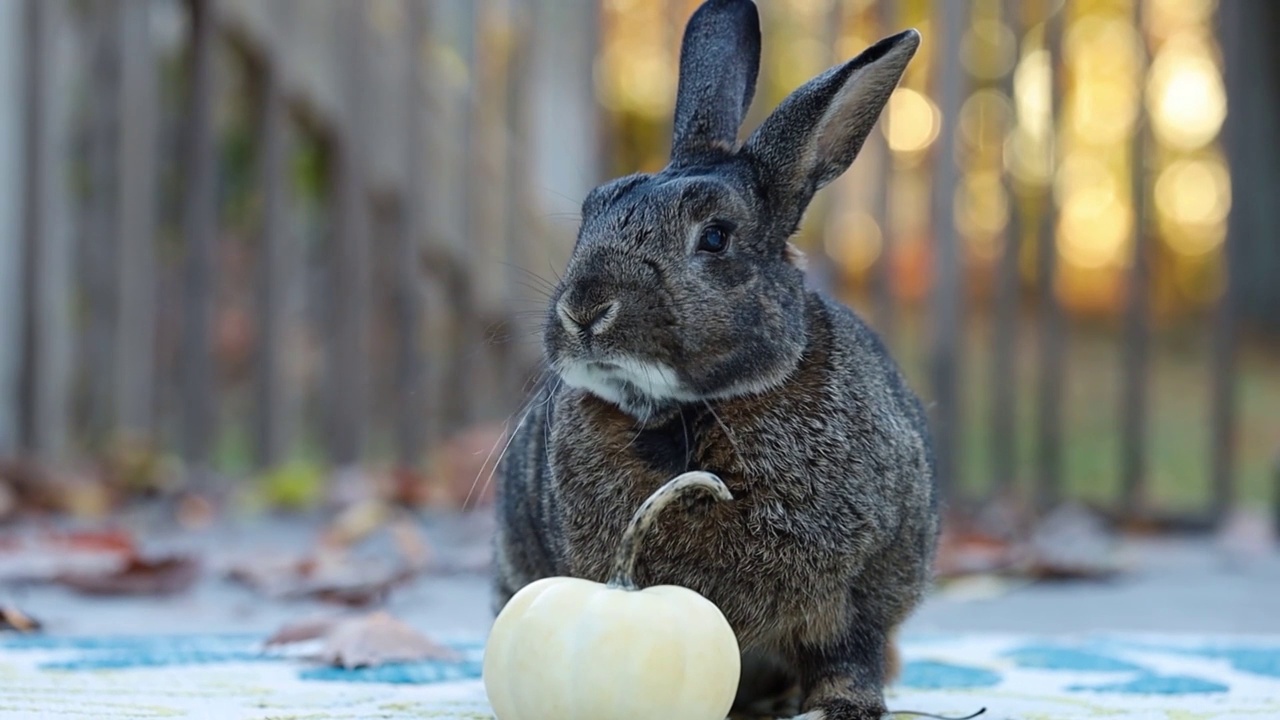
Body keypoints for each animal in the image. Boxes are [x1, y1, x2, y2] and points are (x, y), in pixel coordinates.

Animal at [494, 2, 936, 712]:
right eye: (591, 211)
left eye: (716, 238)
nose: (584, 310)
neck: (691, 413)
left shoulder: (860, 591)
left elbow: (849, 652)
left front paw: (844, 707)